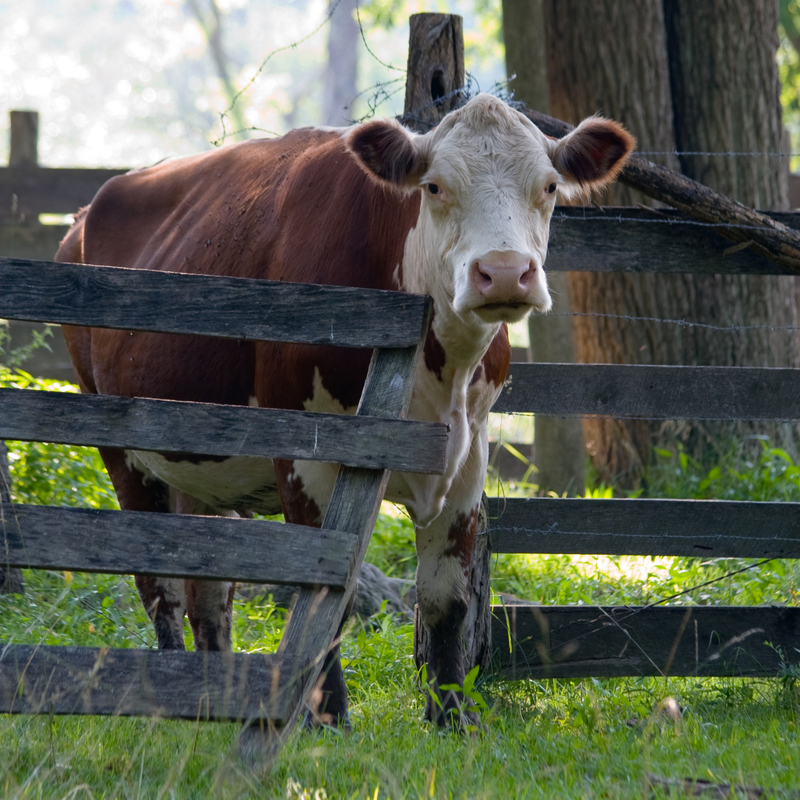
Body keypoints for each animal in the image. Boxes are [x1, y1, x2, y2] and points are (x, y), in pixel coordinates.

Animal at [56, 95, 636, 732]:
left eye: (550, 186)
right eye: (434, 186)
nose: (504, 272)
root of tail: (86, 213)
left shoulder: (469, 458)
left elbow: (446, 598)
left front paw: (451, 718)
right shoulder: (307, 454)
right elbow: (325, 594)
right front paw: (329, 719)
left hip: (201, 468)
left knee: (207, 591)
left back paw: (209, 698)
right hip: (119, 445)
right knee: (158, 585)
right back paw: (164, 703)